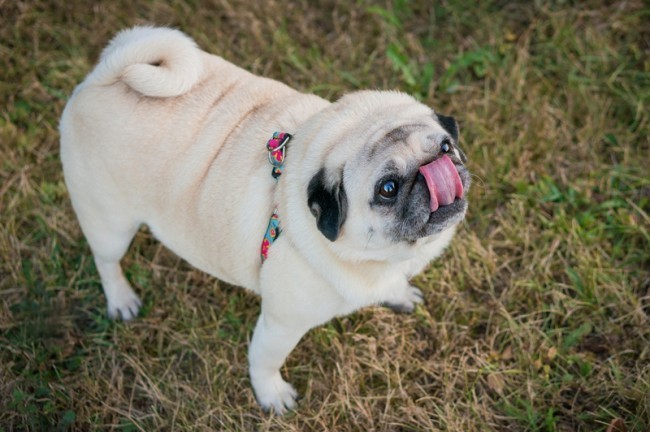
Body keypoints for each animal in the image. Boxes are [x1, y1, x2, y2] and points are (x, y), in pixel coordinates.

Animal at [58, 26, 468, 412]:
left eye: (447, 147)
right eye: (388, 188)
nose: (434, 170)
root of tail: (105, 77)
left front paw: (400, 294)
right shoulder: (281, 325)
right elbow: (265, 360)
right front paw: (271, 394)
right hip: (110, 222)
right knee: (107, 261)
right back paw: (121, 299)